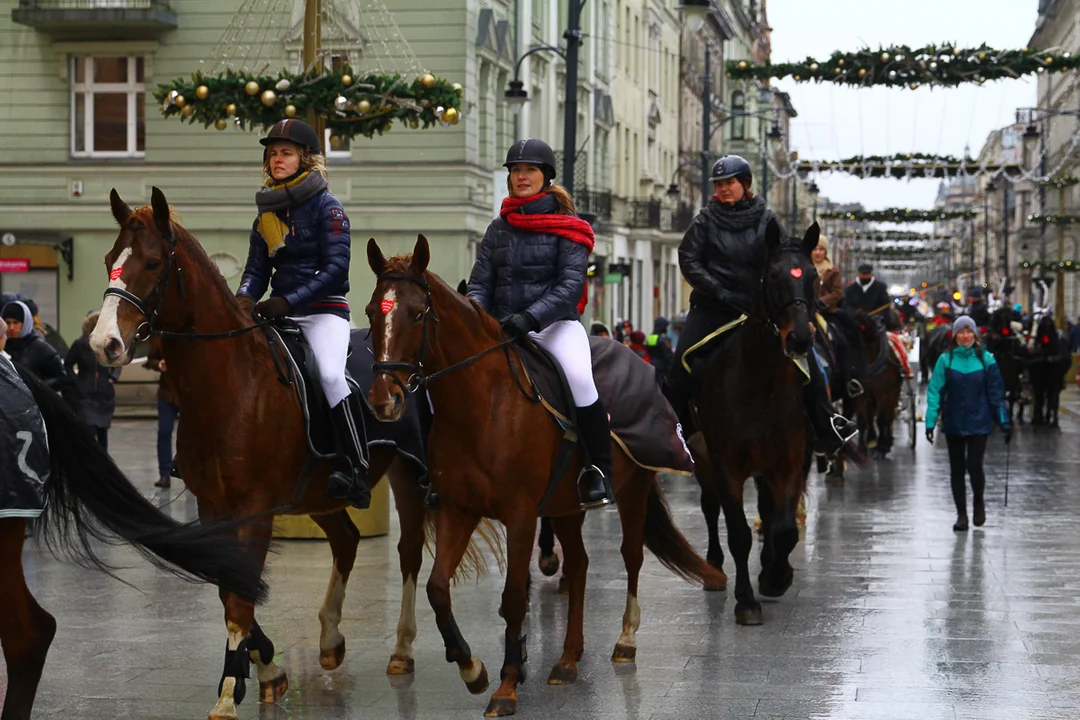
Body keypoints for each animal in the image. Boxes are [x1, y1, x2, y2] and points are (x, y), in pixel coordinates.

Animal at [88, 187, 496, 720]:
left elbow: (239, 597)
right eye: (109, 260)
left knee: (407, 553)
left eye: (153, 263)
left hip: (408, 475)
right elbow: (228, 588)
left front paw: (230, 690)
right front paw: (265, 668)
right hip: (317, 493)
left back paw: (402, 649)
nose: (104, 342)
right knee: (346, 540)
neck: (232, 382)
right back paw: (330, 637)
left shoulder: (256, 508)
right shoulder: (214, 507)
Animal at [365, 235, 725, 716]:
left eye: (418, 313)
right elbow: (438, 589)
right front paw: (472, 668)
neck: (482, 405)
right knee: (581, 564)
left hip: (634, 489)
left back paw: (625, 640)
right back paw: (568, 659)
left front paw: (506, 684)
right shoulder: (459, 509)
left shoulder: (519, 516)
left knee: (631, 556)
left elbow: (514, 598)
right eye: (372, 311)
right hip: (568, 504)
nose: (384, 400)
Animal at [678, 221, 812, 626]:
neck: (760, 385)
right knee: (711, 508)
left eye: (812, 276)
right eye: (773, 275)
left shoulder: (789, 463)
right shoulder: (726, 465)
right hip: (704, 459)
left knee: (767, 512)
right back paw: (714, 568)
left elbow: (785, 530)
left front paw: (776, 576)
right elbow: (738, 533)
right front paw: (747, 601)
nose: (799, 338)